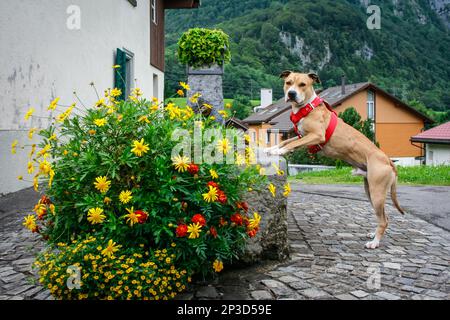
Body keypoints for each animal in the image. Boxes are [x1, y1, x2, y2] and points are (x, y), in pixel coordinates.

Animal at [268, 71, 404, 249]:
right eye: (288, 82)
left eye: (303, 84)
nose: (291, 94)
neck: (307, 108)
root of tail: (388, 161)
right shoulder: (302, 137)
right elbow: (287, 141)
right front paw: (271, 149)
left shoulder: (316, 136)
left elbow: (291, 144)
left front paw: (279, 151)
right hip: (370, 190)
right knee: (382, 216)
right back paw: (373, 235)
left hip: (377, 192)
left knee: (384, 220)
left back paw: (374, 242)